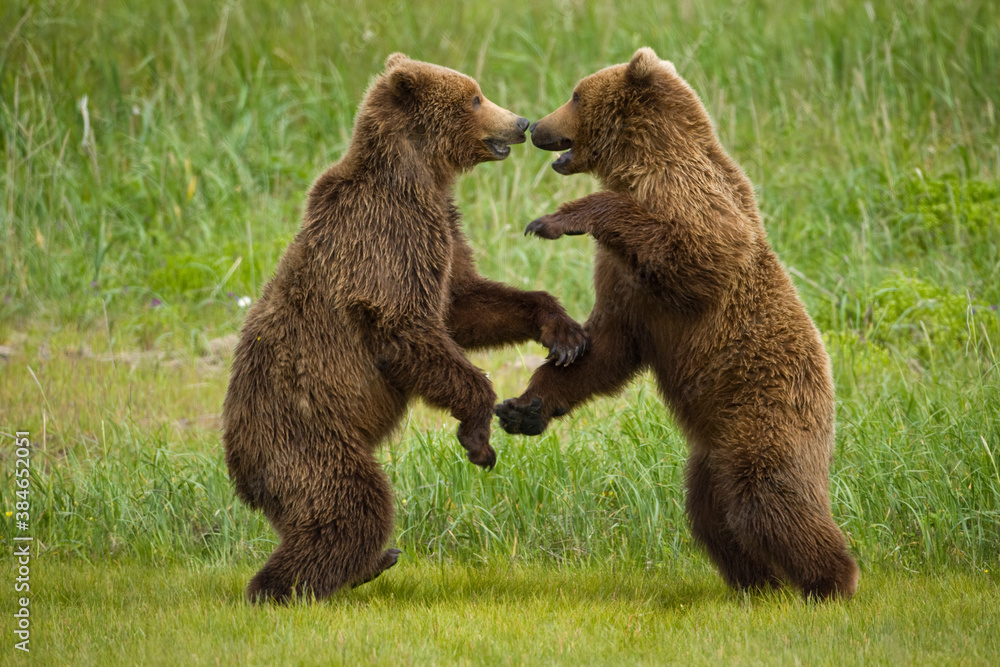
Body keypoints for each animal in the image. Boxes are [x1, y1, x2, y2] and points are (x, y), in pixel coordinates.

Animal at [222, 53, 587, 604]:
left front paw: (562, 331)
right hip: (304, 435)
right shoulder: (388, 236)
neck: (419, 177)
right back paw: (291, 586)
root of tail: (235, 456)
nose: (521, 122)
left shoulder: (442, 230)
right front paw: (478, 439)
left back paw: (368, 564)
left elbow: (463, 304)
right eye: (474, 97)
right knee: (351, 503)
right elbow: (408, 327)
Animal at [495, 47, 858, 600]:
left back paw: (830, 582)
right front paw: (524, 406)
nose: (537, 126)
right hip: (710, 455)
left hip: (766, 415)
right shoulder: (625, 287)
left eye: (576, 94)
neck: (640, 164)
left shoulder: (688, 207)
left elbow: (700, 253)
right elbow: (606, 347)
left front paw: (555, 219)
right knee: (713, 514)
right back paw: (757, 584)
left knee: (771, 498)